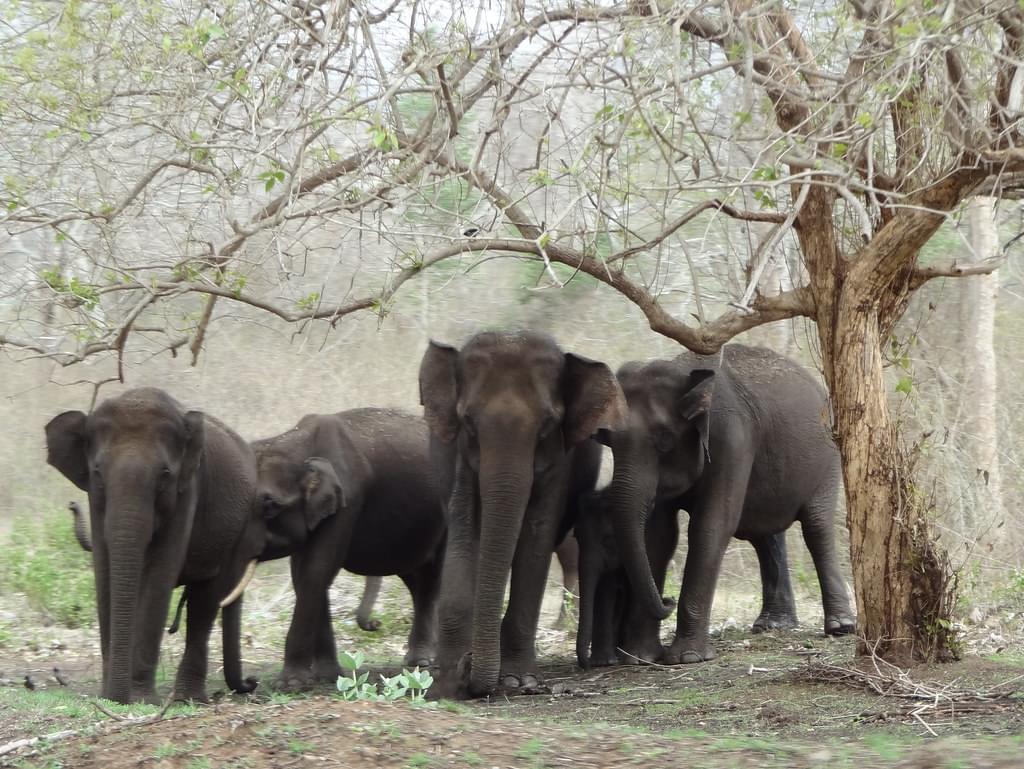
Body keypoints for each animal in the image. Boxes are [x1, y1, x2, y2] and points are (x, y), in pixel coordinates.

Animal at [44, 387, 262, 708]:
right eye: (97, 472)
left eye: (164, 474)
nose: (252, 681)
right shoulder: (97, 501)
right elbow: (105, 575)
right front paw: (112, 697)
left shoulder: (188, 489)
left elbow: (159, 574)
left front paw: (141, 699)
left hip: (237, 531)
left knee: (206, 601)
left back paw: (187, 699)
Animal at [249, 409, 446, 692]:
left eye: (270, 505)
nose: (375, 623)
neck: (295, 440)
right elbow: (306, 574)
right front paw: (327, 677)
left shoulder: (347, 499)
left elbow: (316, 569)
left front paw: (290, 685)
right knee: (416, 577)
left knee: (433, 576)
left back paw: (423, 661)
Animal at [415, 327, 647, 700]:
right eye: (467, 421)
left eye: (547, 424)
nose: (467, 669)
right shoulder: (458, 461)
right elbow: (465, 529)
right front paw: (444, 681)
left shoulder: (560, 464)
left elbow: (537, 534)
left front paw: (518, 682)